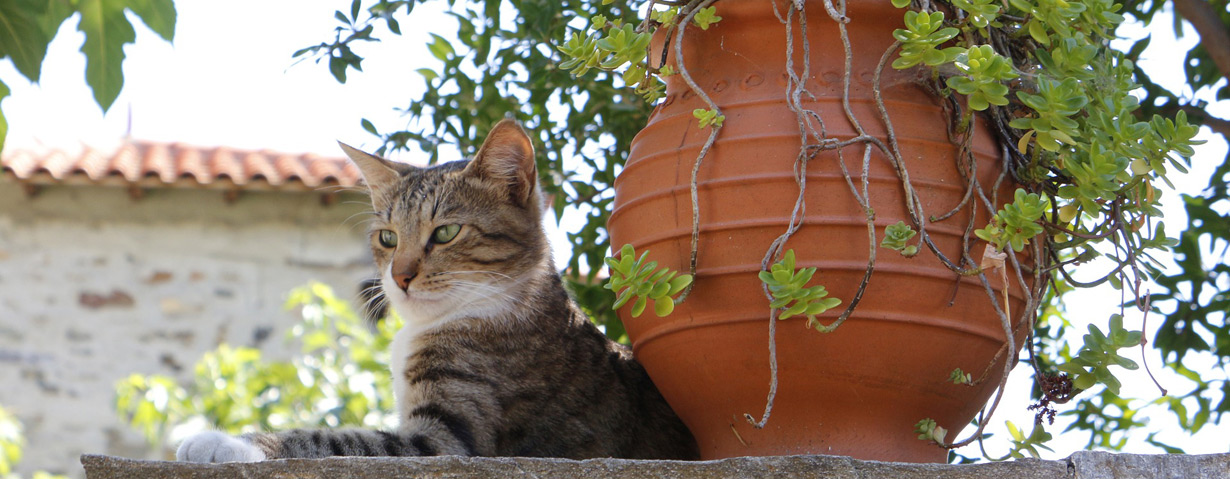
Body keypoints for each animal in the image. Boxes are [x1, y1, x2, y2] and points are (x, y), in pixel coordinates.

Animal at [179, 118, 703, 458]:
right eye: (388, 238)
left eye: (446, 233)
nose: (399, 276)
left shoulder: (451, 439)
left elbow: (337, 439)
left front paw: (226, 442)